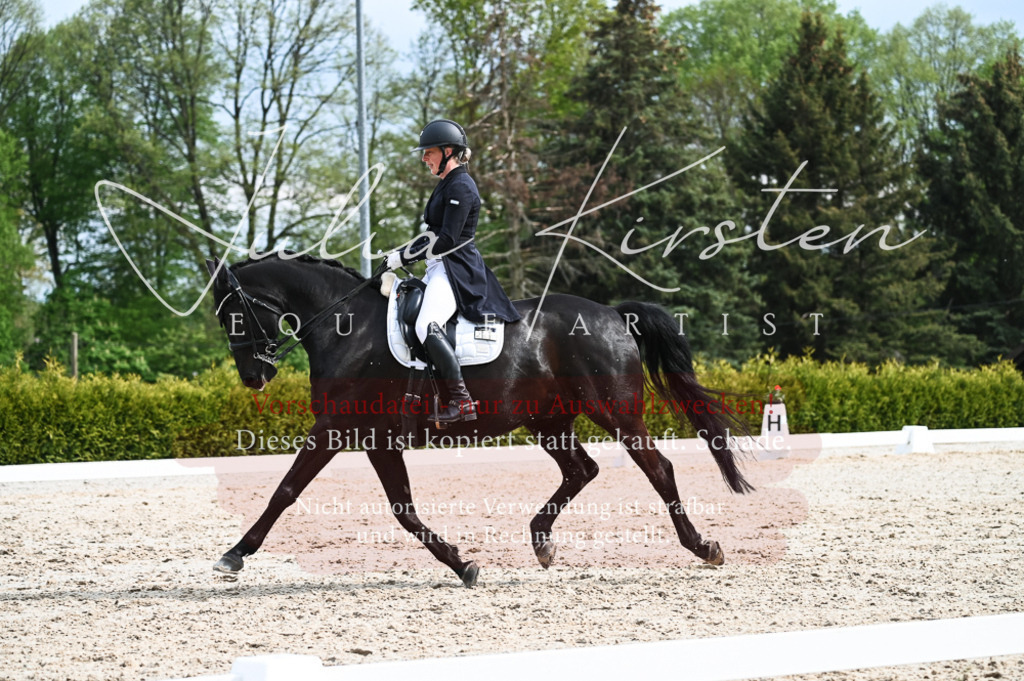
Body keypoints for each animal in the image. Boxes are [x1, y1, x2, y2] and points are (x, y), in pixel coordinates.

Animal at [204, 253, 753, 587]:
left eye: (233, 314)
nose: (254, 376)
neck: (347, 328)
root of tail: (615, 315)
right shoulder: (377, 440)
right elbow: (403, 510)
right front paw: (462, 564)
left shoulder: (336, 429)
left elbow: (285, 490)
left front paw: (234, 554)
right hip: (549, 421)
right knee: (582, 470)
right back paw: (541, 542)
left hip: (615, 412)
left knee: (658, 469)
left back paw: (703, 547)